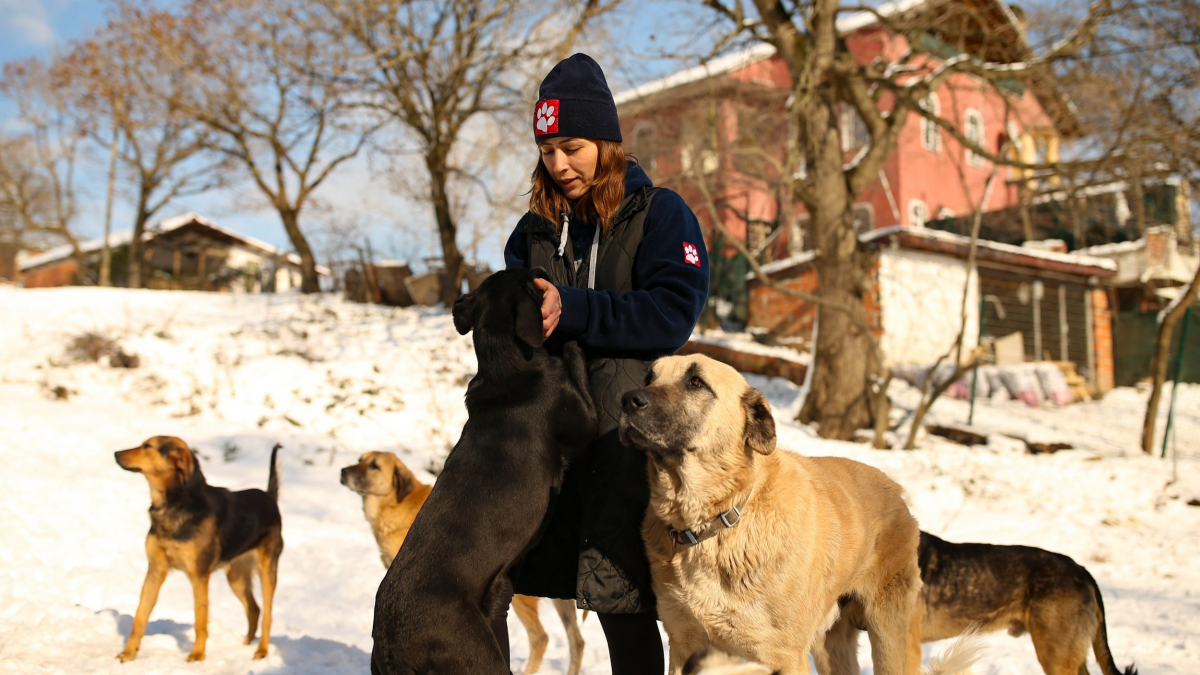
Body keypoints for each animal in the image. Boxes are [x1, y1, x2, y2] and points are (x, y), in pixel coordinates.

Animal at [116, 432, 285, 658]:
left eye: (147, 446)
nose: (116, 453)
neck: (175, 502)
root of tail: (269, 496)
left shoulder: (199, 575)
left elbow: (200, 618)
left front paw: (197, 656)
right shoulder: (155, 570)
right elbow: (140, 615)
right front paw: (128, 654)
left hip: (267, 569)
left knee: (267, 614)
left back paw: (262, 651)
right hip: (236, 576)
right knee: (254, 609)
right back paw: (245, 645)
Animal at [343, 449, 585, 672]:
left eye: (374, 466)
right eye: (359, 459)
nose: (343, 471)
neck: (395, 504)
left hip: (518, 600)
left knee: (541, 637)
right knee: (577, 641)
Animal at [369, 266, 595, 672]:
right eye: (527, 277)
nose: (542, 270)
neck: (505, 364)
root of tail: (389, 647)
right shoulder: (585, 422)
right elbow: (572, 355)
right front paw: (573, 341)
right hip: (479, 654)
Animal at [619, 353, 974, 672]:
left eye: (696, 382)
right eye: (650, 377)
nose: (627, 399)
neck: (716, 523)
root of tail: (897, 490)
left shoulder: (783, 656)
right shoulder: (683, 645)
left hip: (888, 633)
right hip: (829, 645)